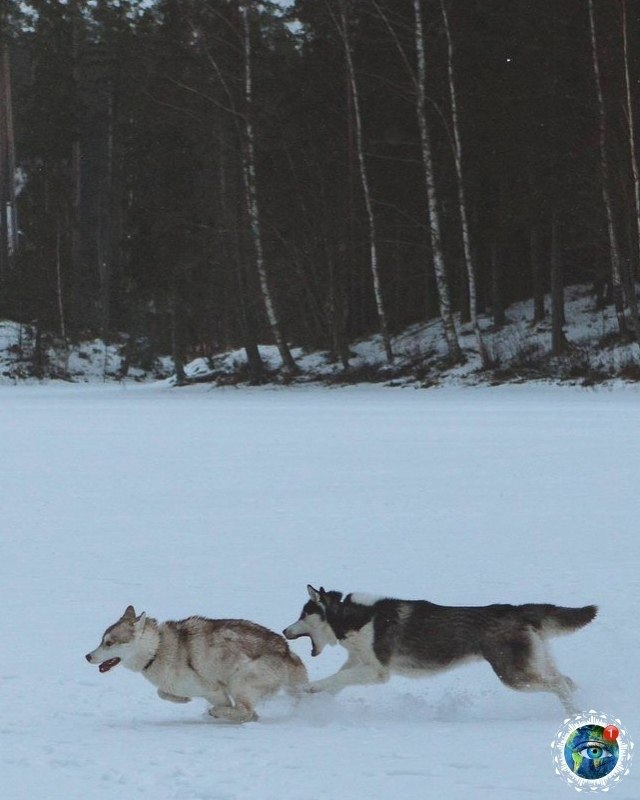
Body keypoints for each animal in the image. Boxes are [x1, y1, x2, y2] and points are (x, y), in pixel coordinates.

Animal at [87, 608, 308, 724]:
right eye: (102, 640)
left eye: (109, 643)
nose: (87, 656)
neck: (157, 649)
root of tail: (286, 651)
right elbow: (162, 692)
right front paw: (183, 699)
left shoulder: (213, 689)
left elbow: (228, 705)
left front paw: (217, 711)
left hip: (240, 681)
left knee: (247, 712)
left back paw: (218, 713)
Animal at [282, 584, 596, 708]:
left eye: (302, 614)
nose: (284, 631)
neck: (355, 617)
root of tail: (517, 610)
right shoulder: (361, 663)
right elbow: (339, 680)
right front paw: (317, 699)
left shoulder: (378, 672)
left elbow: (335, 679)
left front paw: (310, 688)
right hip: (532, 663)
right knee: (565, 680)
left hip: (513, 674)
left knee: (558, 685)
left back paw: (574, 714)